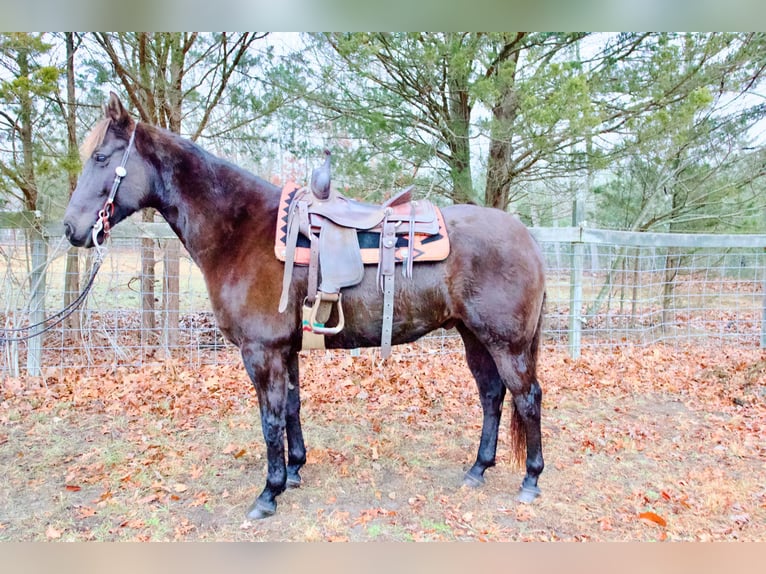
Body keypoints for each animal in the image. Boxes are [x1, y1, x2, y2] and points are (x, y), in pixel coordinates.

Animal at [63, 93, 547, 520]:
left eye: (101, 157)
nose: (72, 229)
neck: (241, 231)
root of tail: (527, 237)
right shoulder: (286, 350)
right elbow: (292, 408)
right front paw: (294, 469)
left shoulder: (262, 351)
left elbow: (270, 419)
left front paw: (269, 492)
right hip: (474, 337)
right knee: (492, 395)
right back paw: (478, 469)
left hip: (507, 344)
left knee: (527, 398)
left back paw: (530, 480)